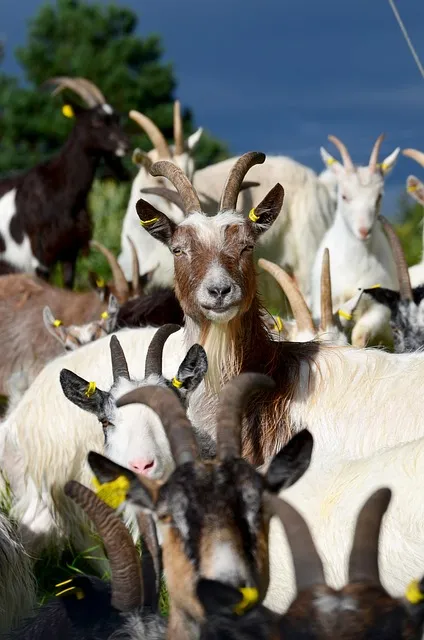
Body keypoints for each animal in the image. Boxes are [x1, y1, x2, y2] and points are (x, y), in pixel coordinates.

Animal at [0, 77, 129, 288]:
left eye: (117, 119)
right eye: (96, 120)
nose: (125, 145)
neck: (60, 191)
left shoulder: (70, 252)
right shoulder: (40, 257)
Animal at [311, 134, 400, 347]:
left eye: (379, 196)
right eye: (344, 196)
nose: (364, 230)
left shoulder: (380, 308)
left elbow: (360, 335)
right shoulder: (326, 302)